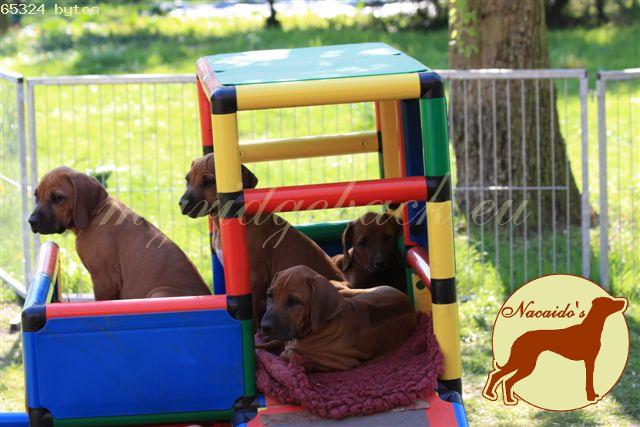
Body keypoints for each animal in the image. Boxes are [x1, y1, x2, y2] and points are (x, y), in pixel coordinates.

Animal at [28, 166, 211, 300]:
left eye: (57, 198)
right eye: (36, 196)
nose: (31, 221)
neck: (96, 214)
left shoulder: (105, 280)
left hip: (158, 293)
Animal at [259, 265, 416, 372]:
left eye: (294, 301)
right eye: (269, 295)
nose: (264, 326)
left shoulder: (341, 362)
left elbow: (296, 356)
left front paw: (288, 352)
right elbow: (267, 346)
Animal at [483, 296, 627, 405]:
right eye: (610, 301)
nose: (624, 302)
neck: (591, 328)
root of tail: (519, 338)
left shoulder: (589, 361)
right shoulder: (589, 361)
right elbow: (589, 381)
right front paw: (591, 397)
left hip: (524, 363)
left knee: (504, 379)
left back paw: (503, 398)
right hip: (524, 363)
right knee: (500, 377)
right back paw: (495, 396)